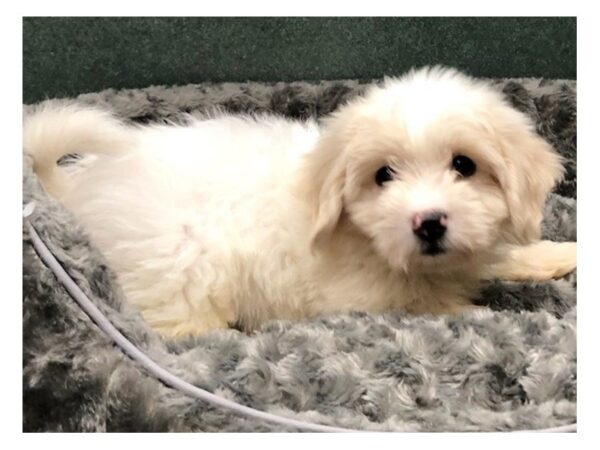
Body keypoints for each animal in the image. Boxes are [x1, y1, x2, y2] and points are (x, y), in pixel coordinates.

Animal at [24, 67, 576, 338]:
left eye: (464, 165)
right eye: (383, 175)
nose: (429, 223)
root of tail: (83, 187)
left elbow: (500, 258)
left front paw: (557, 254)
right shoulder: (371, 298)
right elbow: (452, 308)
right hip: (180, 266)